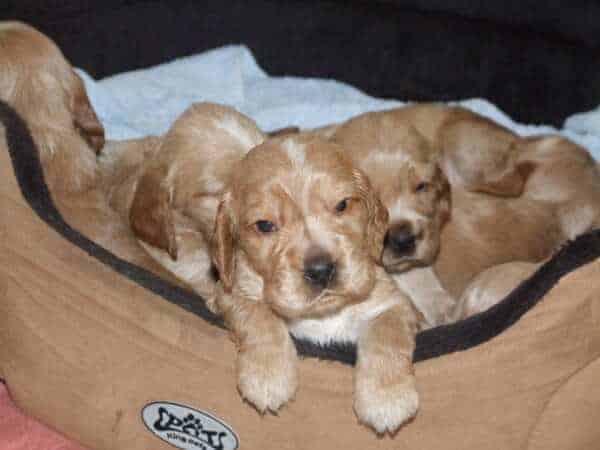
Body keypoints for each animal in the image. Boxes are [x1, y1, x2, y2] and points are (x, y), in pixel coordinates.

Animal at [213, 135, 420, 434]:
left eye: (342, 205)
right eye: (264, 225)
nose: (322, 270)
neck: (323, 314)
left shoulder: (393, 303)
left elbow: (387, 334)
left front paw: (387, 397)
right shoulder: (230, 291)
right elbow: (257, 315)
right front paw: (267, 374)